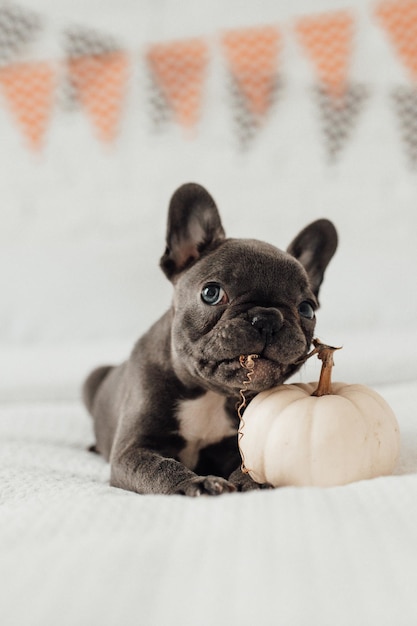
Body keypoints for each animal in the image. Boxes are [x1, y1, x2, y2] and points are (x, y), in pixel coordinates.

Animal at [83, 183, 336, 494]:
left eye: (307, 309)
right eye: (211, 293)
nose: (267, 318)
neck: (209, 393)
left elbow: (250, 463)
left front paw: (254, 482)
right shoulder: (132, 450)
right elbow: (159, 468)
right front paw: (195, 484)